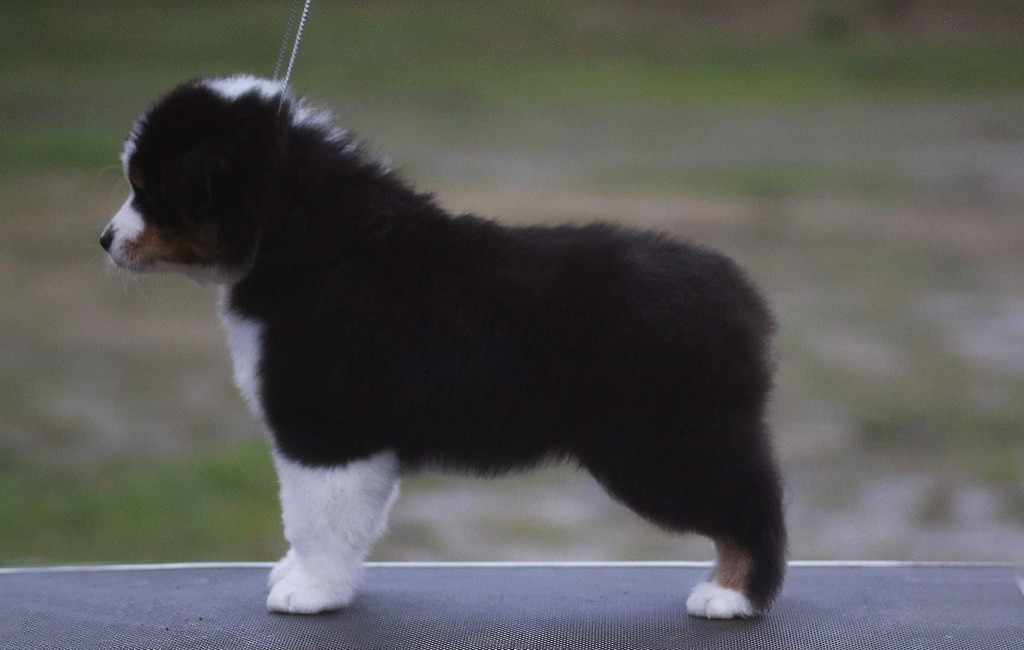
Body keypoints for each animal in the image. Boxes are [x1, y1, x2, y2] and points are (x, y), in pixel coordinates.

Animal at [101, 75, 785, 618]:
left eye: (149, 188)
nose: (104, 239)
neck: (304, 238)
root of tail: (738, 294)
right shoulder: (354, 438)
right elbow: (341, 520)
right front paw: (308, 576)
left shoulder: (324, 426)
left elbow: (317, 516)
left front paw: (310, 591)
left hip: (663, 442)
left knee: (751, 505)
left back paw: (732, 595)